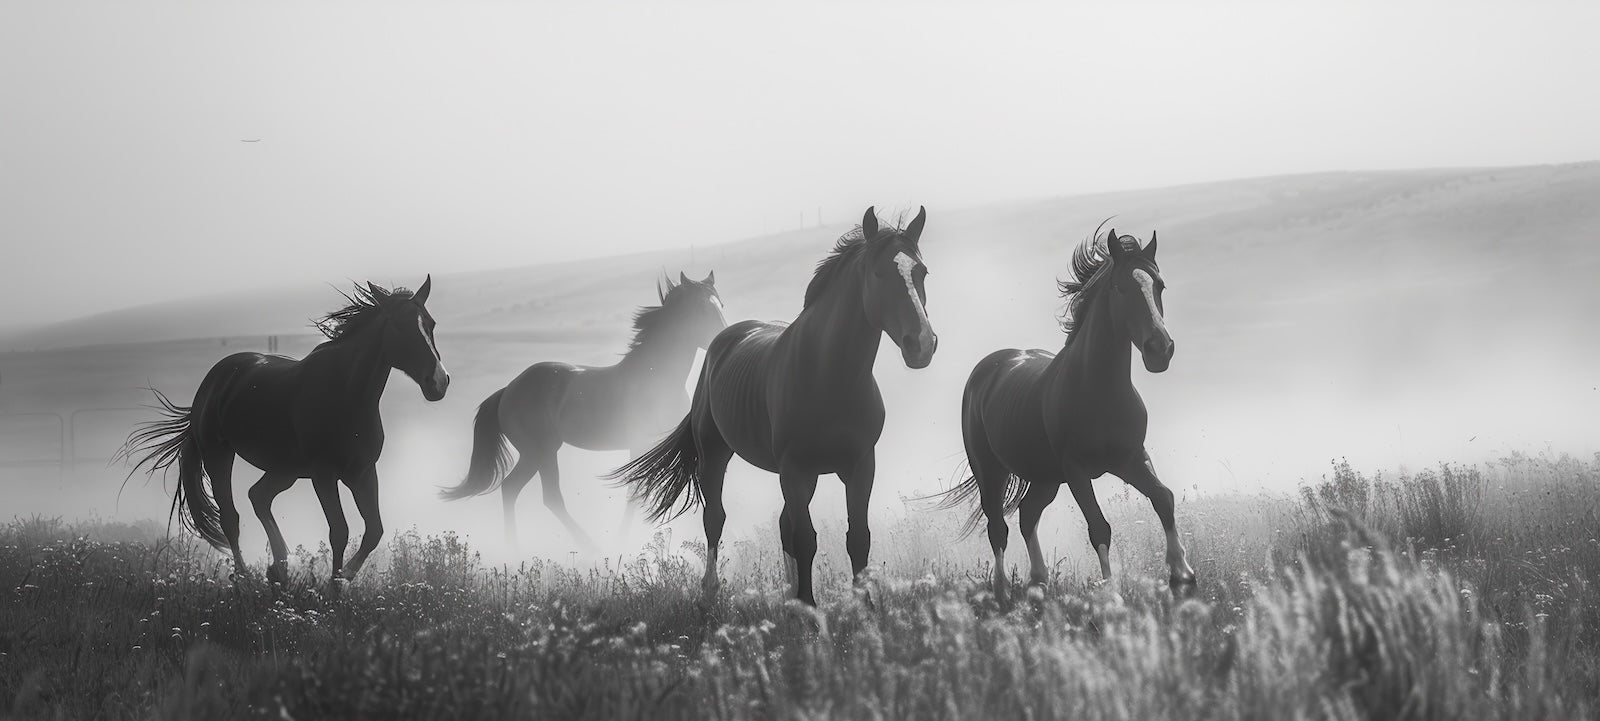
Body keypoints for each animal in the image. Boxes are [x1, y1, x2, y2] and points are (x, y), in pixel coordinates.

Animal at [121, 278, 449, 585]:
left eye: (431, 324)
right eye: (400, 325)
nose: (439, 382)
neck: (346, 394)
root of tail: (213, 380)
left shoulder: (363, 472)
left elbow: (374, 531)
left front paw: (344, 578)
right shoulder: (324, 475)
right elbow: (339, 532)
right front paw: (334, 588)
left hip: (285, 470)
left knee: (259, 497)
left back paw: (278, 569)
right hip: (219, 455)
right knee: (231, 517)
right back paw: (245, 579)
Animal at [438, 272, 727, 551]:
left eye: (720, 305)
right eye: (701, 309)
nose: (723, 337)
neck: (658, 378)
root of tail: (507, 391)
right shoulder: (640, 443)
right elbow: (635, 491)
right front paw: (622, 542)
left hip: (536, 453)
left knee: (512, 489)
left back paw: (516, 547)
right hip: (540, 451)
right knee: (546, 496)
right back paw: (588, 548)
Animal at [612, 206, 936, 606]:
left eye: (921, 272)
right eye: (878, 273)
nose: (922, 343)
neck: (830, 376)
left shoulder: (860, 466)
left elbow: (857, 538)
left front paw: (863, 607)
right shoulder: (794, 469)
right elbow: (806, 539)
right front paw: (809, 608)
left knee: (782, 525)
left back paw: (787, 593)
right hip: (716, 455)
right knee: (716, 519)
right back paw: (711, 591)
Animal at [941, 226, 1196, 602]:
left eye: (1159, 285)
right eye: (1120, 286)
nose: (1160, 350)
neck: (1099, 391)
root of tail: (986, 369)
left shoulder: (1130, 458)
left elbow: (1163, 498)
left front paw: (1182, 575)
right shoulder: (1076, 469)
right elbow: (1099, 527)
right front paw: (1112, 596)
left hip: (1046, 477)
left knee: (1027, 515)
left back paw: (1038, 583)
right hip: (991, 470)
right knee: (998, 529)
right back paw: (1002, 593)